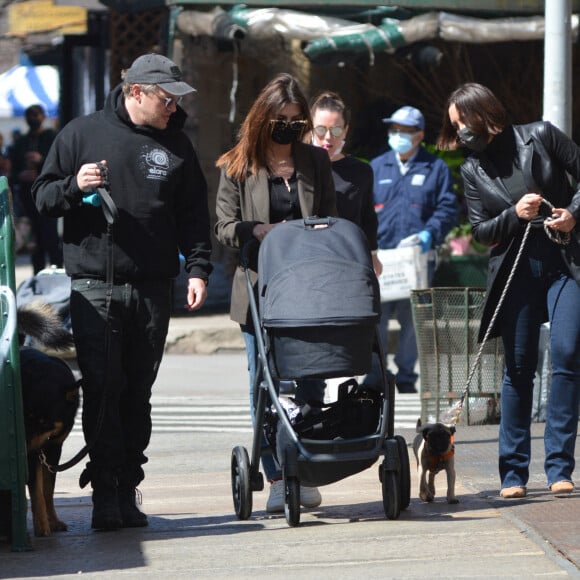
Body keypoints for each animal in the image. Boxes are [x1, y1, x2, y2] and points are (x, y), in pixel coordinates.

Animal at [17, 302, 80, 536]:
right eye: (25, 416)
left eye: (45, 421)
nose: (23, 445)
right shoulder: (33, 453)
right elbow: (37, 492)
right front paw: (42, 525)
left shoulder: (53, 449)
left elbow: (47, 490)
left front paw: (52, 521)